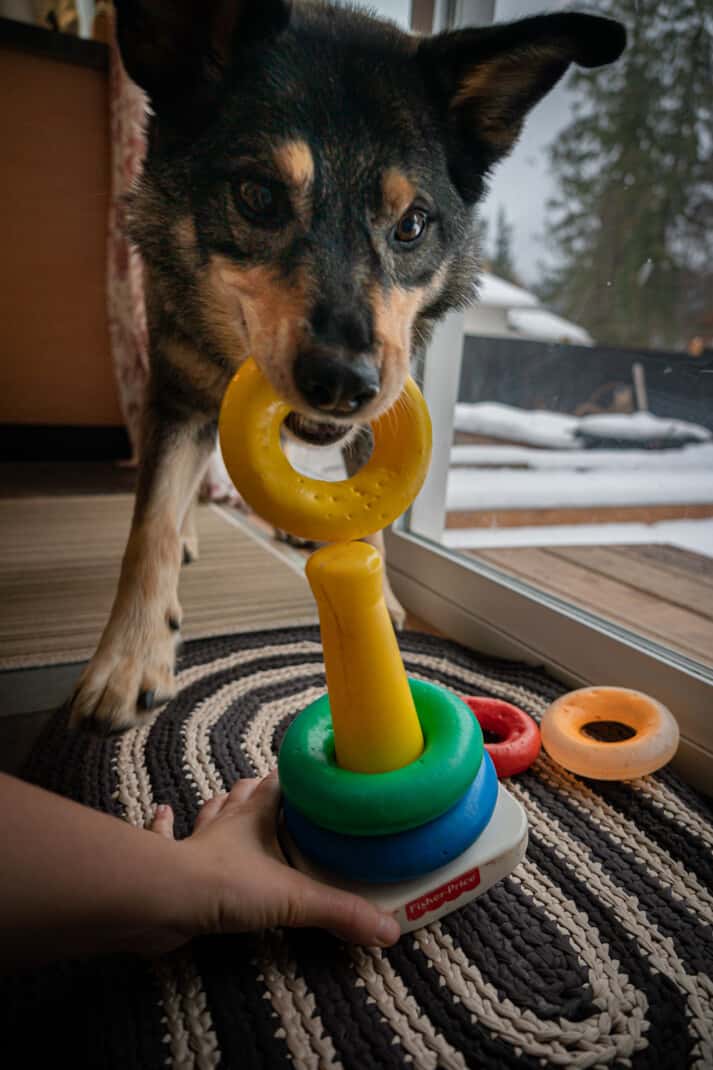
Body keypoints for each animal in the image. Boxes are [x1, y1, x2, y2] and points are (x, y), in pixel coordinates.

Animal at [69, 0, 620, 727]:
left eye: (412, 225)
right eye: (258, 196)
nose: (341, 385)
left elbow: (373, 523)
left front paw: (381, 606)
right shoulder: (177, 389)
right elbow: (151, 523)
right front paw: (130, 656)